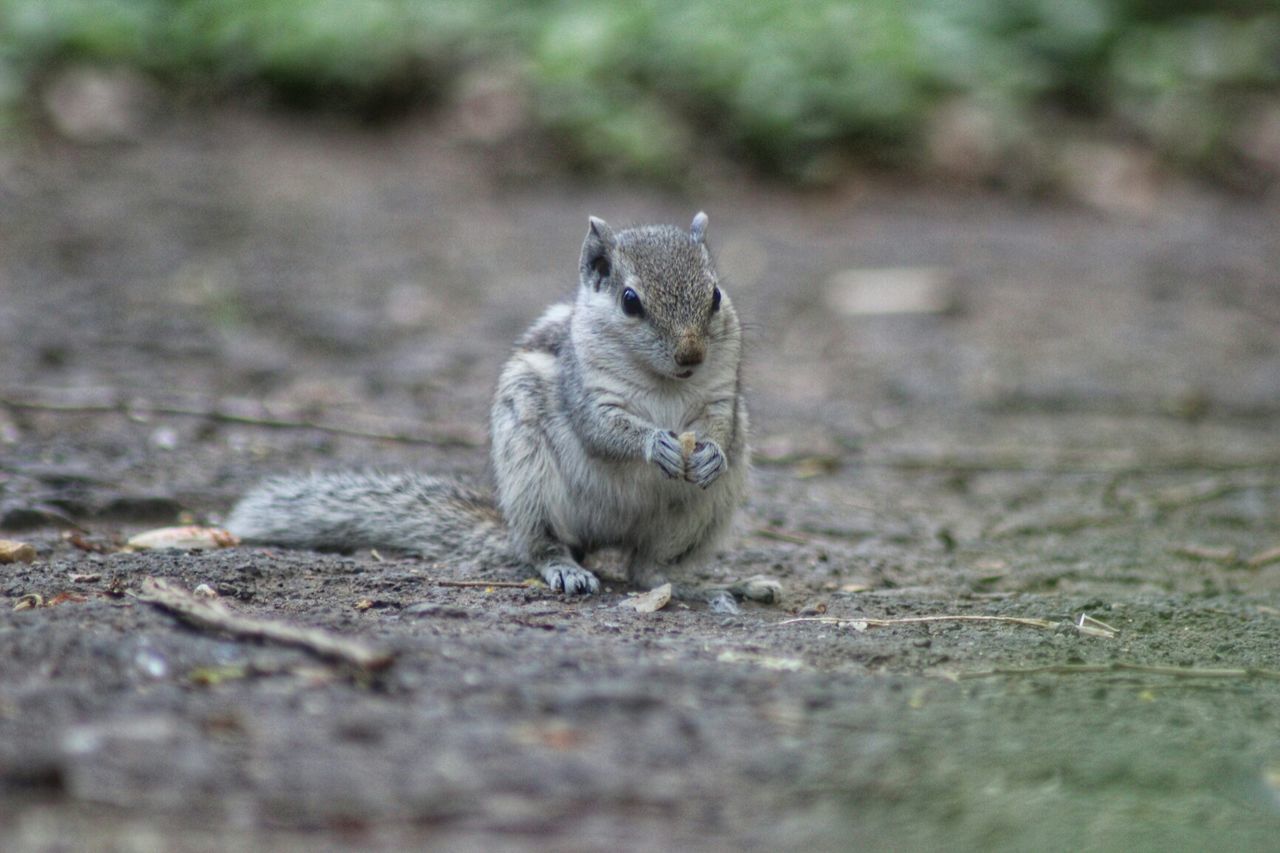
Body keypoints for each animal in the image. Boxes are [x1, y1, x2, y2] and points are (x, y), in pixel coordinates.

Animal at [225, 212, 773, 604]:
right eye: (630, 301)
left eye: (716, 295)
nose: (691, 355)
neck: (664, 386)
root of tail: (606, 537)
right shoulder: (585, 389)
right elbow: (602, 428)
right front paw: (653, 442)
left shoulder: (722, 395)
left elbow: (720, 426)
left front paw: (710, 454)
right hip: (531, 475)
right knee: (546, 546)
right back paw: (565, 569)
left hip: (703, 513)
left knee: (648, 570)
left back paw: (710, 587)